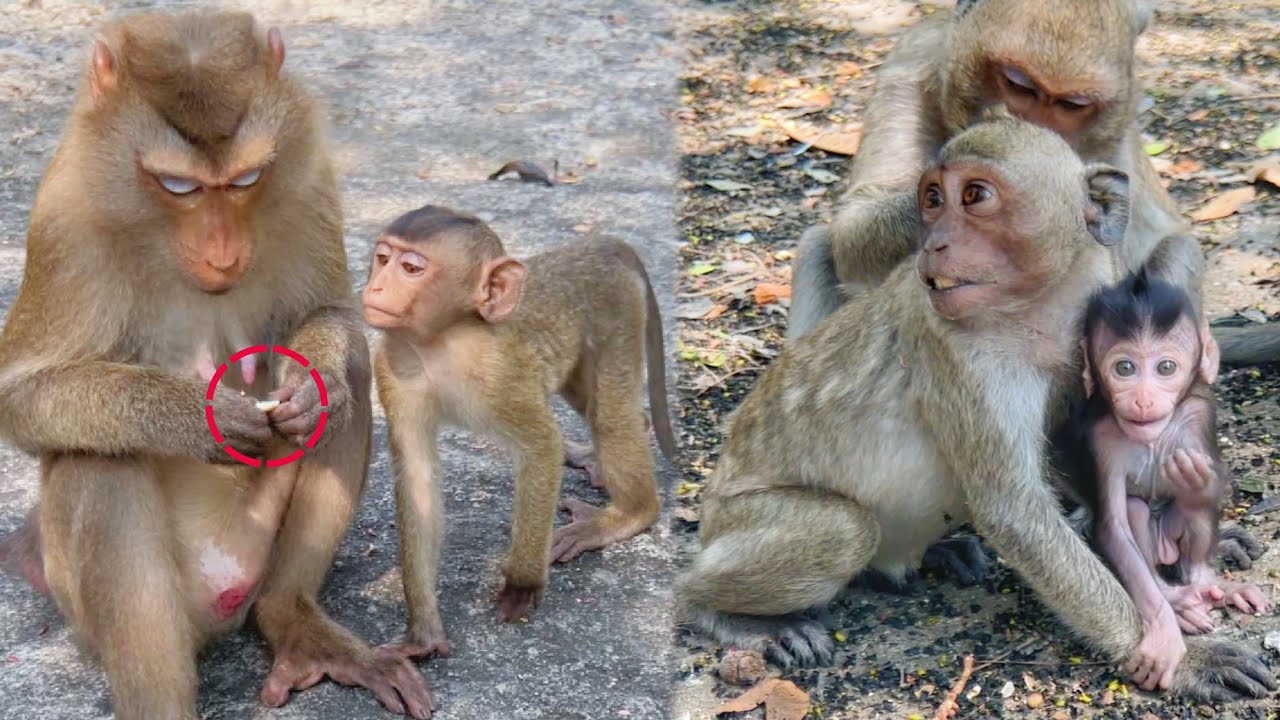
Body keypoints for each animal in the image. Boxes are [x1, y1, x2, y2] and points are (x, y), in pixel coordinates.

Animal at [0, 12, 434, 720]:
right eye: (179, 185)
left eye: (247, 179)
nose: (223, 252)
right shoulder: (64, 219)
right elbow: (21, 392)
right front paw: (194, 419)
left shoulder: (307, 174)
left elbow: (334, 315)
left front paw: (311, 379)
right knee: (96, 459)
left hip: (255, 546)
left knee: (353, 380)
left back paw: (295, 619)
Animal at [360, 205, 676, 653]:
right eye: (383, 259)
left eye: (410, 268)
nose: (377, 286)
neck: (443, 343)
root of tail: (599, 245)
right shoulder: (392, 369)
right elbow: (418, 479)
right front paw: (423, 631)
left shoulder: (502, 375)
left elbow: (542, 447)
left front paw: (522, 585)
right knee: (597, 404)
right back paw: (595, 459)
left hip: (619, 311)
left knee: (611, 417)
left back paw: (630, 514)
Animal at [1062, 272, 1271, 684]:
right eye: (1125, 369)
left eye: (1165, 368)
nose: (1143, 399)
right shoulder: (1102, 439)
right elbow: (1114, 526)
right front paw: (1164, 631)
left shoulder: (1197, 413)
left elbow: (1211, 483)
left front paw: (1198, 485)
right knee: (1136, 511)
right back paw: (1174, 598)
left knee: (1190, 524)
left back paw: (1206, 583)